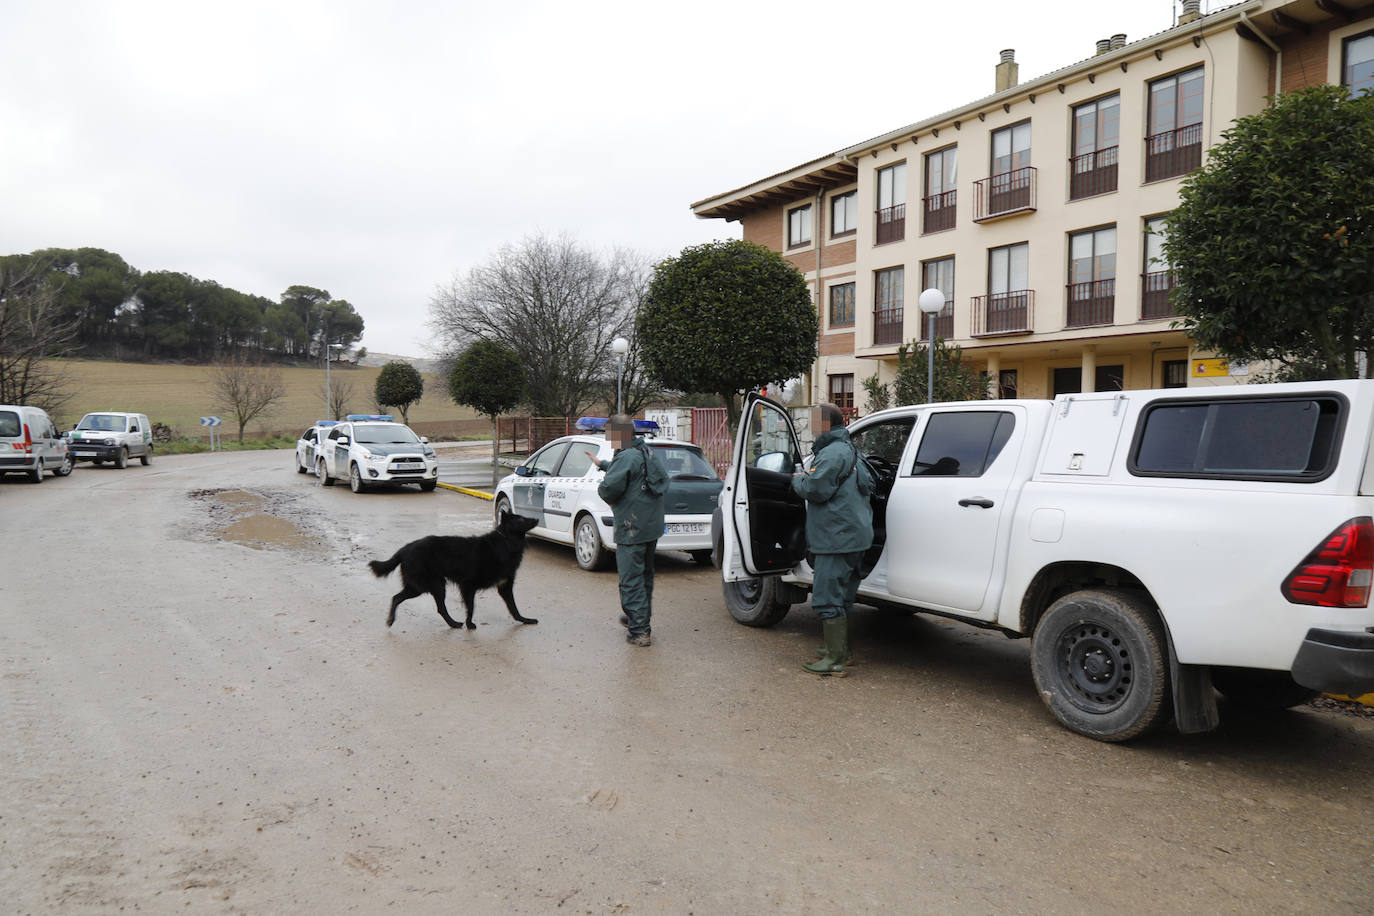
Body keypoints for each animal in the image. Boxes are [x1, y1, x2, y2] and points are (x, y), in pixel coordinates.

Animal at [368, 516, 538, 631]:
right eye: (521, 519)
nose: (536, 518)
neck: (506, 542)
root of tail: (404, 549)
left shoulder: (505, 587)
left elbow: (514, 608)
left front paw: (525, 620)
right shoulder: (469, 586)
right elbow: (471, 607)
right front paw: (470, 624)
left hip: (429, 585)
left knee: (403, 599)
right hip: (426, 586)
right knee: (404, 599)